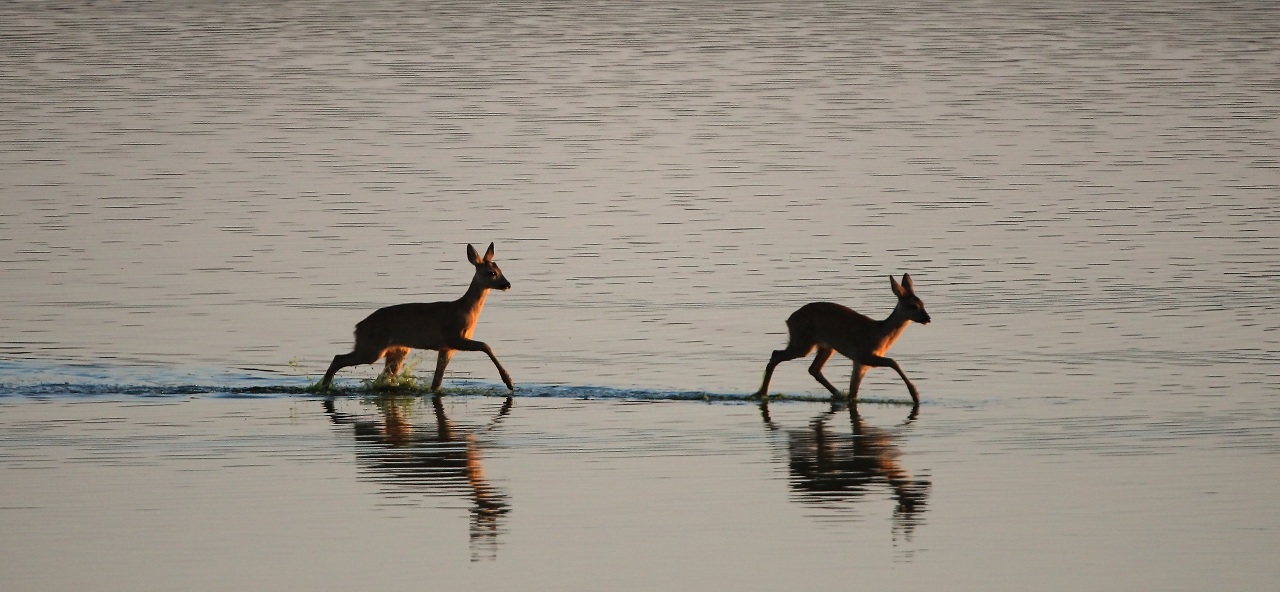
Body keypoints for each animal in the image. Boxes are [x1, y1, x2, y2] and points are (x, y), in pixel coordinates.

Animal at [320, 242, 514, 389]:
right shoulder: (454, 337)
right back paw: (323, 386)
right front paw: (509, 381)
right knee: (339, 358)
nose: (507, 284)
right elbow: (485, 345)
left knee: (383, 376)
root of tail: (357, 327)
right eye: (491, 272)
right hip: (372, 348)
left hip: (397, 350)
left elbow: (437, 381)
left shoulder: (446, 348)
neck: (465, 311)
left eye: (501, 269)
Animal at [752, 275, 936, 404]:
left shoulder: (859, 363)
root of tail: (789, 319)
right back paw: (761, 393)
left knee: (813, 369)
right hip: (803, 343)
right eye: (913, 306)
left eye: (923, 303)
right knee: (776, 354)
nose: (927, 318)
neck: (880, 334)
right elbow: (893, 361)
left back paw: (838, 394)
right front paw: (915, 395)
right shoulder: (864, 355)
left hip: (826, 347)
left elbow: (854, 391)